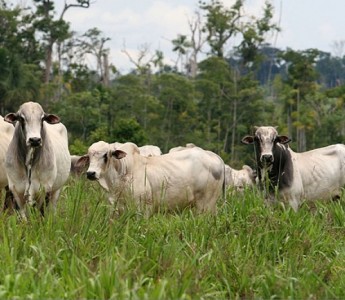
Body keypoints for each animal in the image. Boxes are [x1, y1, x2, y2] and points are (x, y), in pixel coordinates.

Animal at [76, 141, 224, 213]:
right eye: (89, 156)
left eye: (106, 155)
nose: (91, 173)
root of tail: (215, 157)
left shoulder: (144, 207)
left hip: (205, 205)